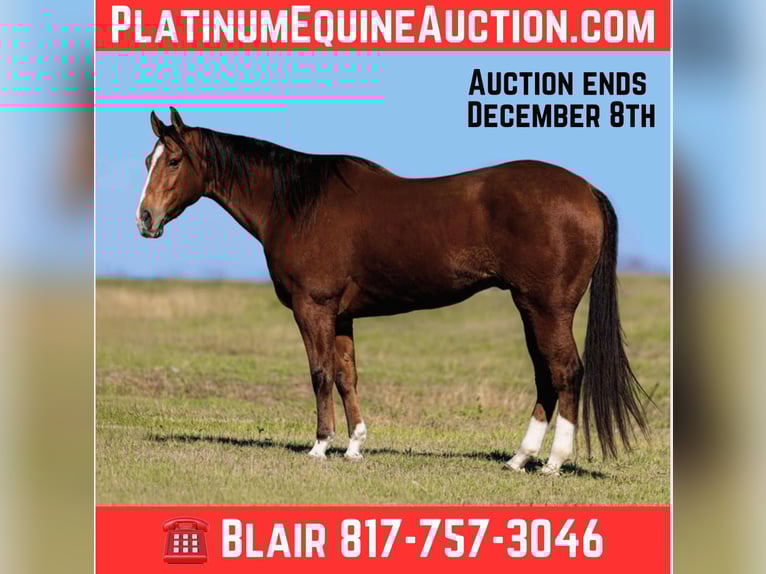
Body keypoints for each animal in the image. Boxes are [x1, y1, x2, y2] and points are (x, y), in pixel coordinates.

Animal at [135, 107, 648, 474]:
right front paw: (354, 447)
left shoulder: (312, 307)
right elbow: (347, 376)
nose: (145, 219)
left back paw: (554, 463)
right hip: (529, 306)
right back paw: (519, 458)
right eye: (147, 161)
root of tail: (586, 190)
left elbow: (320, 373)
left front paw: (320, 446)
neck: (298, 204)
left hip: (547, 307)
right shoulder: (341, 315)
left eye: (174, 160)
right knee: (546, 375)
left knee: (566, 372)